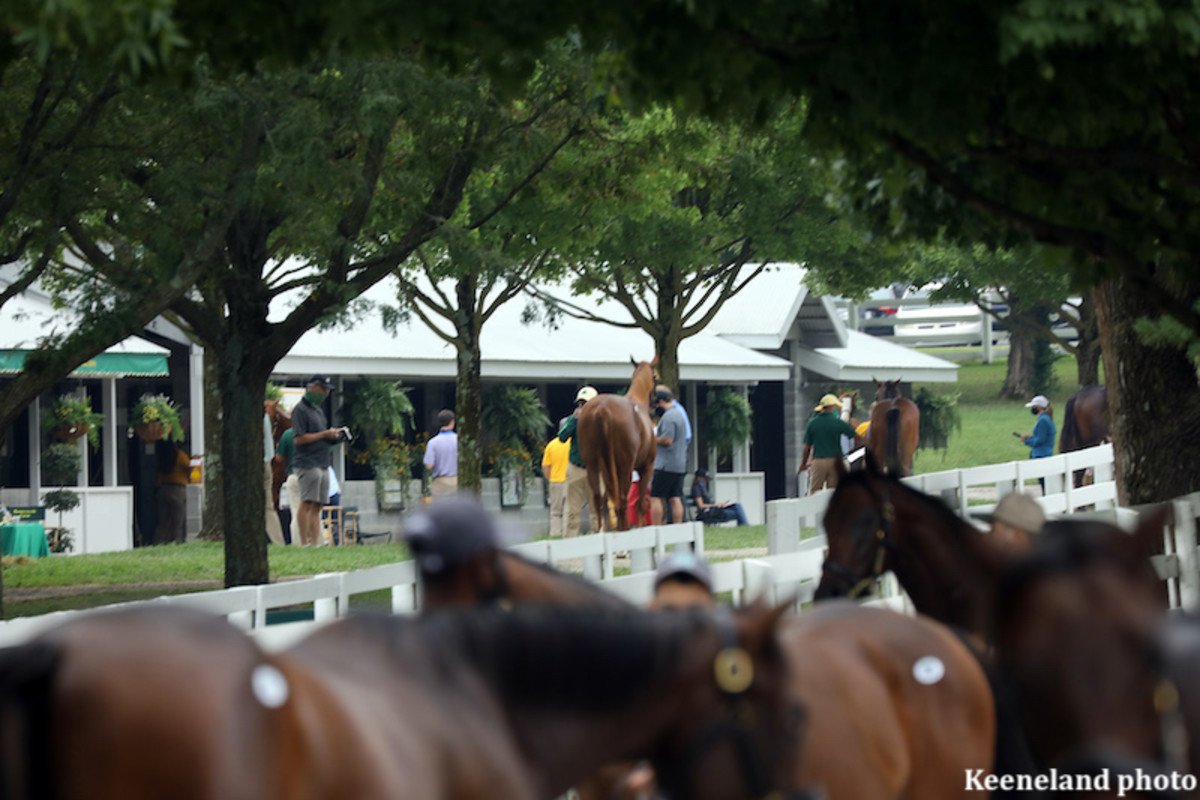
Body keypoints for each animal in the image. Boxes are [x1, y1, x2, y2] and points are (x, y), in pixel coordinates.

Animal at [578, 357, 662, 532]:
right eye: (655, 376)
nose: (655, 404)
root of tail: (603, 409)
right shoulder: (646, 467)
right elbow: (640, 504)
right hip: (625, 468)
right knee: (622, 501)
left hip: (594, 466)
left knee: (599, 500)